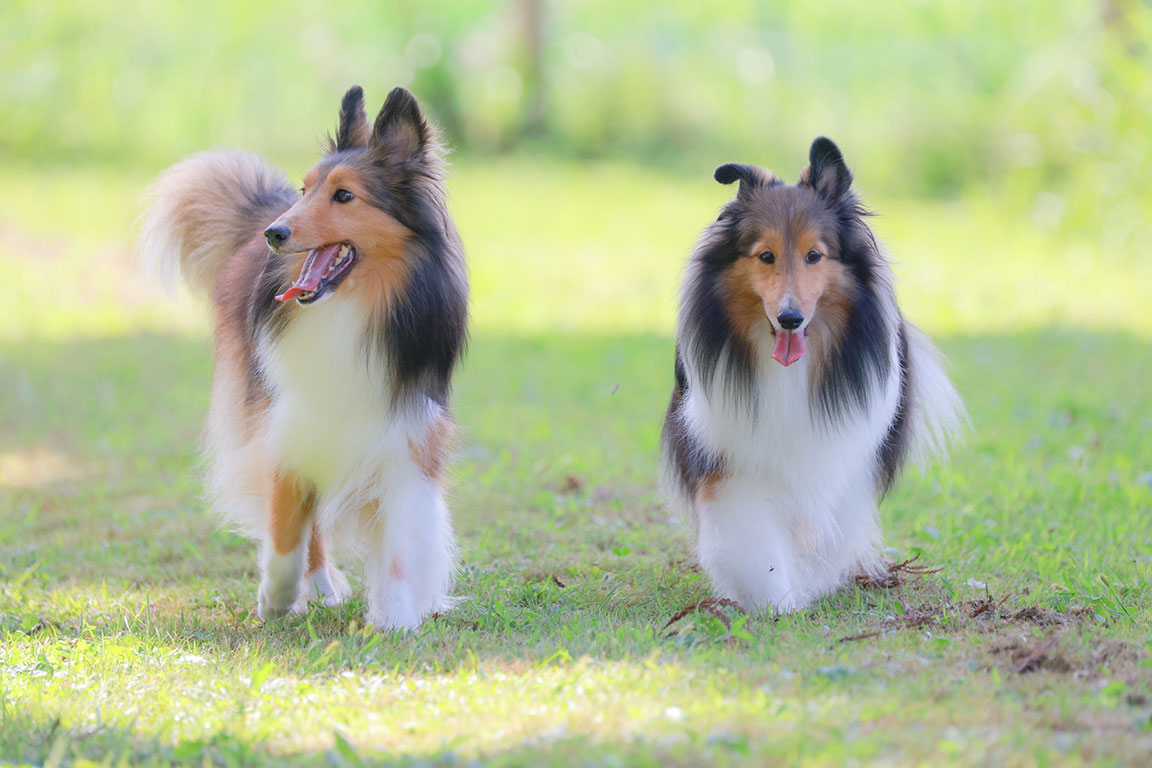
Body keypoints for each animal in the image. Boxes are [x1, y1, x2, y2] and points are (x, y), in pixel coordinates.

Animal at [139, 86, 467, 635]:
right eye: (305, 189)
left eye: (344, 196)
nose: (275, 234)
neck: (351, 310)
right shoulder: (285, 424)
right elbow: (287, 529)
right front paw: (277, 597)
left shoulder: (406, 435)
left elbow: (401, 546)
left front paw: (396, 619)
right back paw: (318, 585)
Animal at [658, 138, 963, 617]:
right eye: (765, 256)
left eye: (814, 255)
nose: (790, 318)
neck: (791, 370)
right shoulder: (732, 456)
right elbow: (751, 537)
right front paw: (772, 597)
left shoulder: (843, 453)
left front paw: (807, 584)